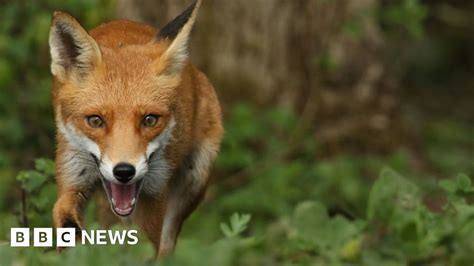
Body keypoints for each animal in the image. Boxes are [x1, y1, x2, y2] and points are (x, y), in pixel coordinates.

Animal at [49, 0, 223, 258]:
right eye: (95, 121)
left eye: (150, 120)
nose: (124, 172)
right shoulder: (73, 177)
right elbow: (65, 218)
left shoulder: (155, 194)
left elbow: (145, 248)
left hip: (193, 181)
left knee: (167, 244)